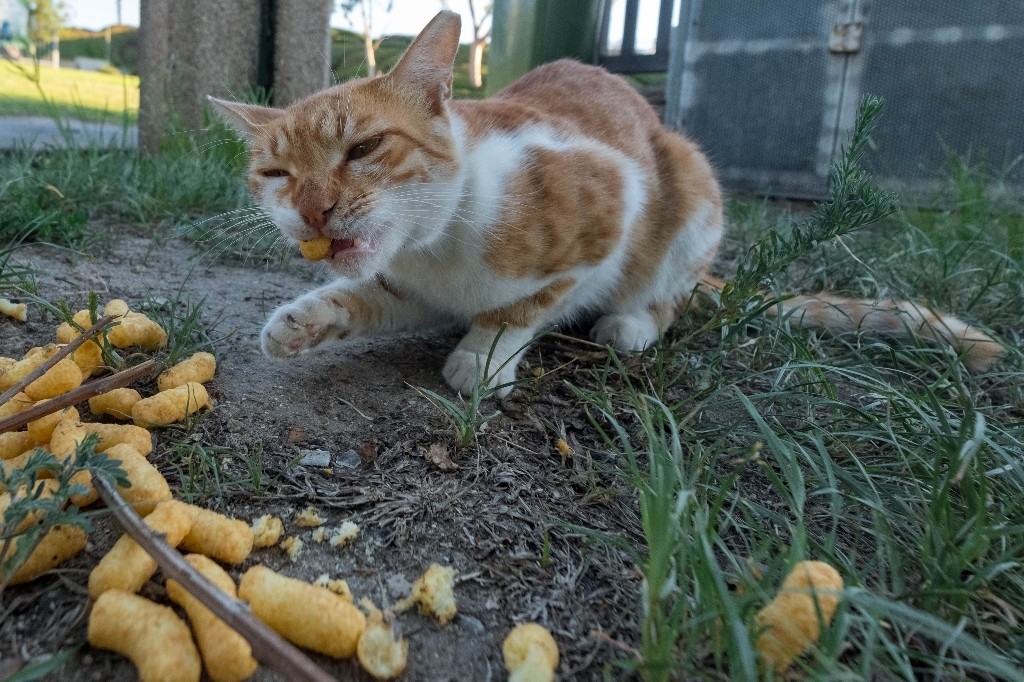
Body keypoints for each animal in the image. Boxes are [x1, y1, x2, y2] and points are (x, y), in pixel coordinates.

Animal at [209, 9, 999, 399]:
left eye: (365, 148)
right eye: (276, 172)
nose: (313, 210)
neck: (439, 251)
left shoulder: (612, 206)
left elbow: (525, 305)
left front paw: (482, 357)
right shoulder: (419, 292)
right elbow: (373, 297)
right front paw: (305, 320)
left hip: (691, 188)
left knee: (669, 296)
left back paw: (631, 324)